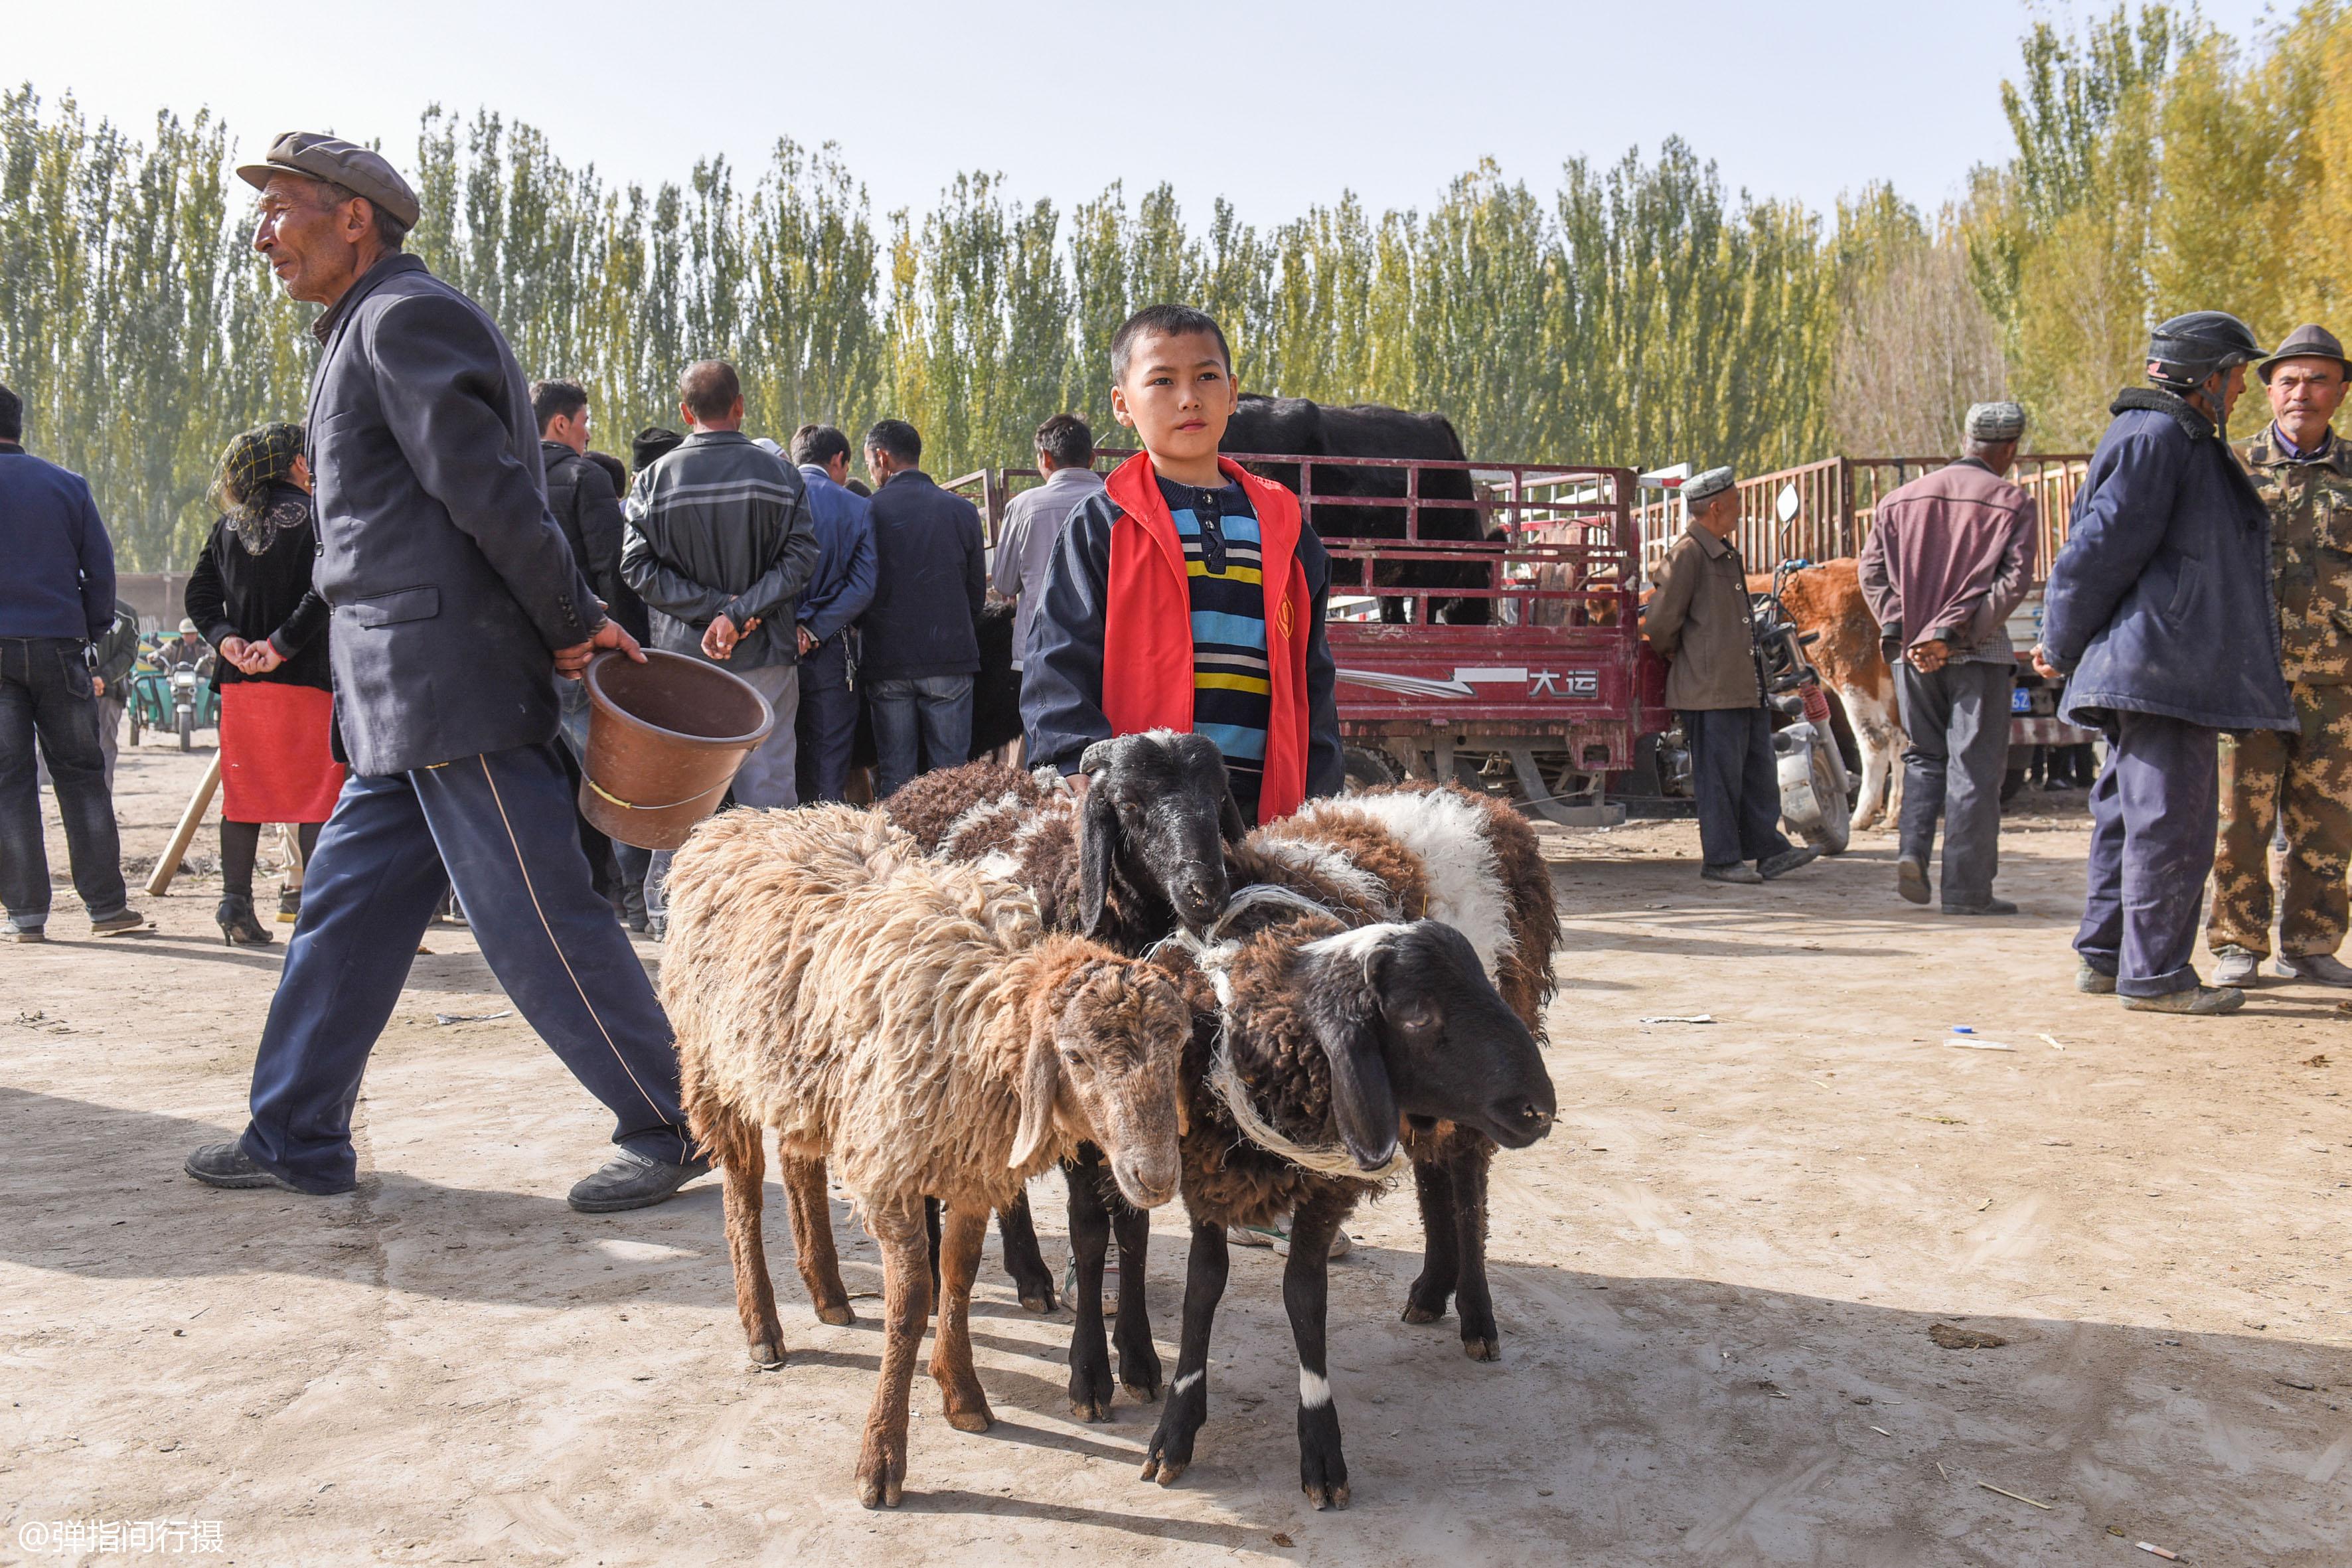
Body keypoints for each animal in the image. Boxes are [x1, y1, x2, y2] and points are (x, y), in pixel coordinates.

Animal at [668, 804, 1194, 1514]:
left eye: (1178, 1049)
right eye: (1076, 1057)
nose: (1155, 1175)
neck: (978, 1015)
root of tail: (739, 820)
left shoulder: (970, 1166)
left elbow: (962, 1276)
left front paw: (962, 1393)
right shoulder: (894, 1164)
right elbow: (912, 1300)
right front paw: (881, 1457)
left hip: (804, 1078)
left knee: (800, 1165)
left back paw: (829, 1293)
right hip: (715, 1064)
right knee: (745, 1192)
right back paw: (762, 1327)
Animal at [1129, 884, 1552, 1504]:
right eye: (1415, 1014)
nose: (1539, 1109)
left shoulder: (1326, 1188)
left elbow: (1305, 1295)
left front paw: (1320, 1445)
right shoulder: (1206, 1178)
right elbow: (1201, 1287)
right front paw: (1175, 1431)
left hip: (1468, 1122)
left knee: (1468, 1193)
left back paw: (1476, 1317)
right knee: (1433, 1178)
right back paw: (1431, 1292)